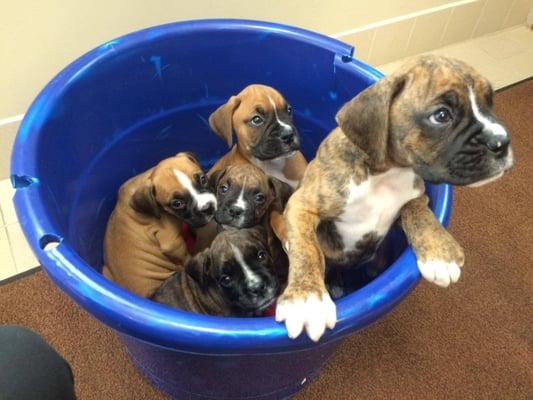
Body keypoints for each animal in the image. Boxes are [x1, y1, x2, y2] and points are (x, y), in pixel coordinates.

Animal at [274, 55, 512, 340]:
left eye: (490, 102)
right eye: (441, 115)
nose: (501, 142)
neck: (386, 174)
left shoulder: (416, 197)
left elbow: (418, 214)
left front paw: (440, 252)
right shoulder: (302, 204)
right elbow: (306, 247)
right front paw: (307, 300)